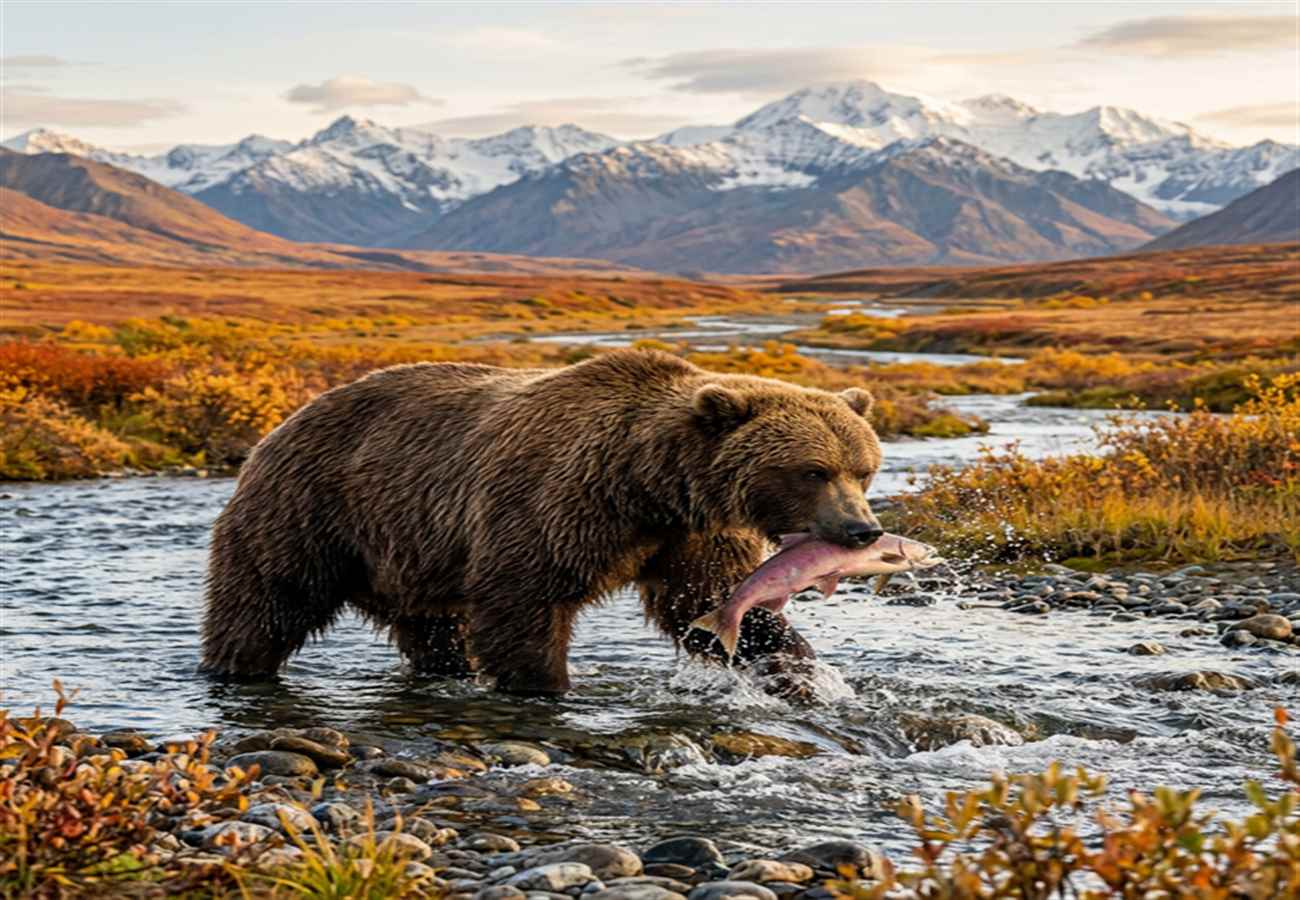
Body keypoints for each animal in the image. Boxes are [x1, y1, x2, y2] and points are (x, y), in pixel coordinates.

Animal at [200, 348, 884, 694]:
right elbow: (524, 601)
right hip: (314, 510)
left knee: (435, 630)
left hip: (410, 555)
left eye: (863, 469)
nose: (862, 530)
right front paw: (543, 685)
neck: (646, 484)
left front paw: (796, 669)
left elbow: (705, 599)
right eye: (813, 470)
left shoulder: (690, 533)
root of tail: (284, 420)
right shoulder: (552, 502)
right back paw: (236, 665)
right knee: (267, 599)